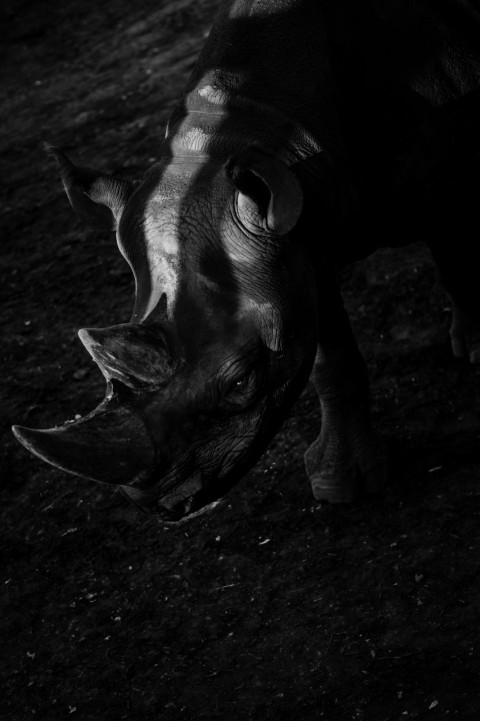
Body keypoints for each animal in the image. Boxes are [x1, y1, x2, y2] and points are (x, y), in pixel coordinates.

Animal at [13, 0, 480, 521]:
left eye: (241, 381)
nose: (164, 505)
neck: (262, 132)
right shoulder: (296, 247)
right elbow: (329, 358)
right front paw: (340, 486)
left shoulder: (439, 184)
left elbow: (454, 261)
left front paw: (477, 351)